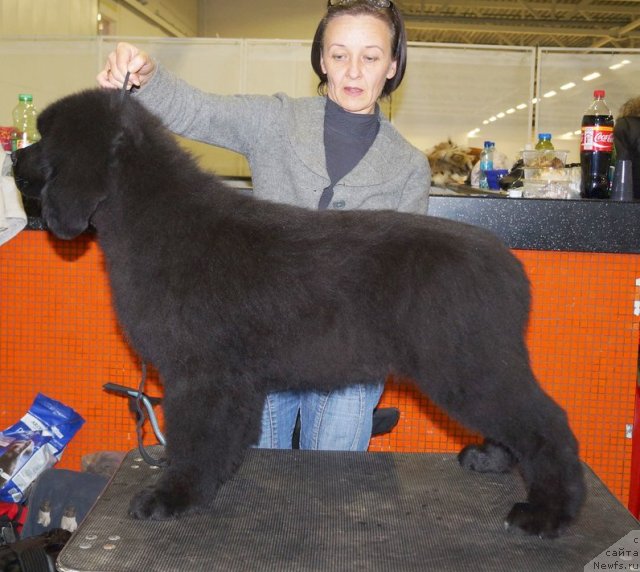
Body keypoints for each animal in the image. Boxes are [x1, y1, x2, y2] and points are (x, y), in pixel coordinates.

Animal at [13, 89, 584, 536]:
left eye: (45, 139)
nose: (14, 162)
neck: (146, 214)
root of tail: (510, 267)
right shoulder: (231, 379)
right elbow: (222, 440)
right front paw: (206, 485)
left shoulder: (199, 373)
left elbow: (193, 441)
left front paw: (170, 498)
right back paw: (492, 460)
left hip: (467, 364)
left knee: (546, 422)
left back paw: (549, 513)